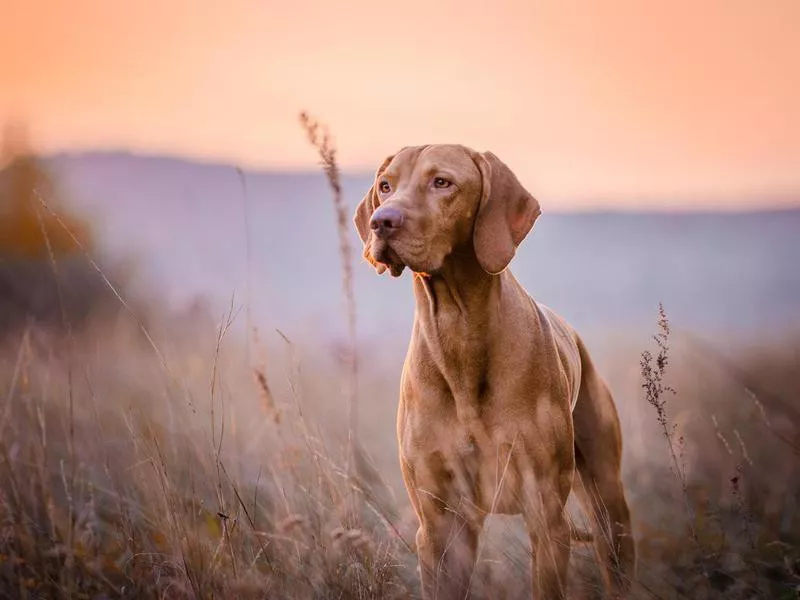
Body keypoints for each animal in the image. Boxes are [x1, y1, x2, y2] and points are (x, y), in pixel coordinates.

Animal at [354, 145, 636, 600]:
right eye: (385, 185)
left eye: (442, 182)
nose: (382, 221)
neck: (458, 331)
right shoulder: (440, 525)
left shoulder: (545, 514)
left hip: (608, 504)